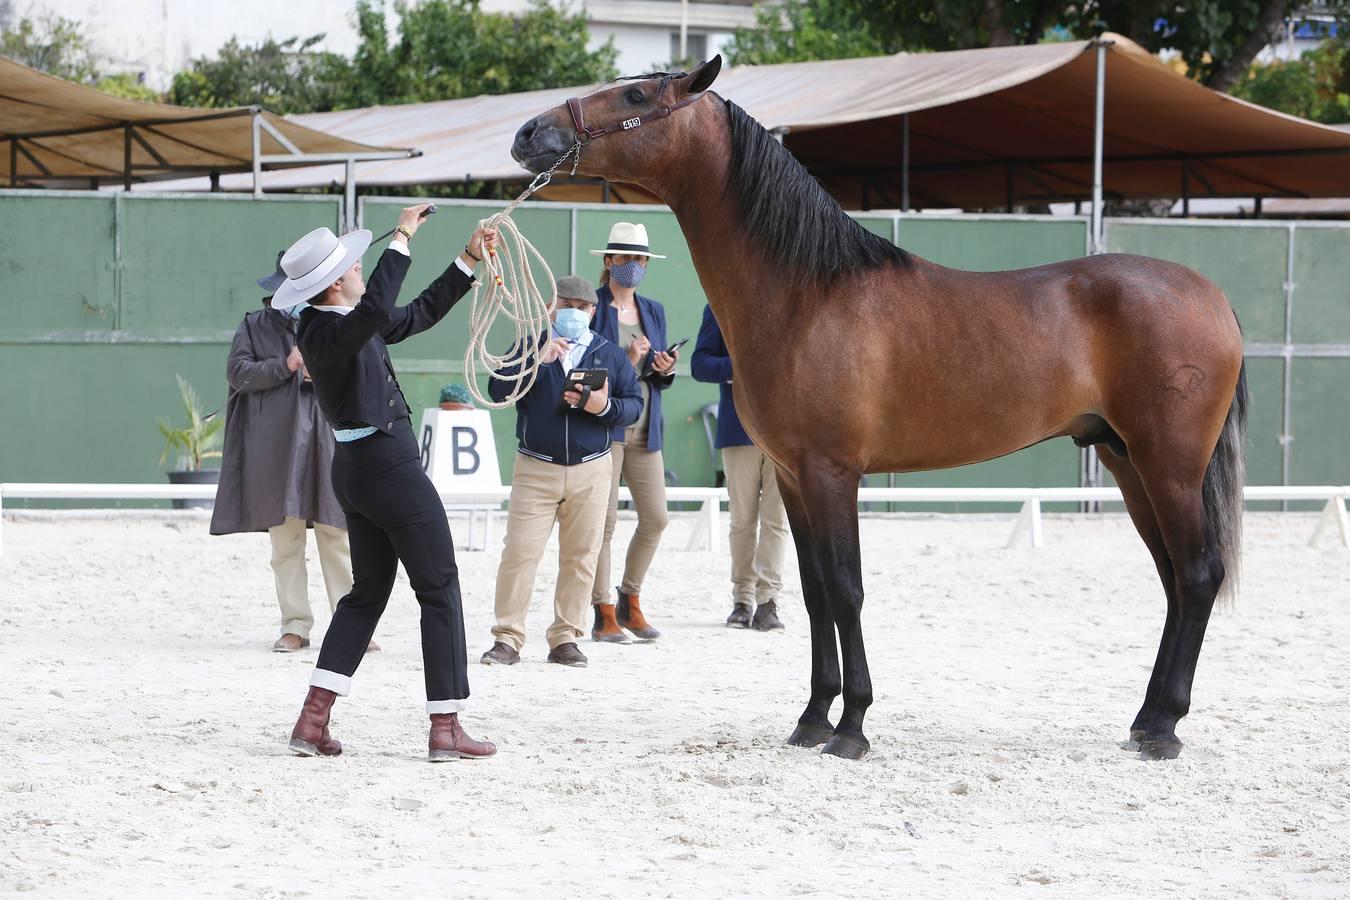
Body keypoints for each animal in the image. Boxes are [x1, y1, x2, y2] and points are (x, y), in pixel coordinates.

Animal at [510, 56, 1247, 761]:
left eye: (635, 96)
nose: (529, 133)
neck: (806, 294)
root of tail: (1213, 297)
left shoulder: (834, 473)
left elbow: (846, 588)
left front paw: (853, 726)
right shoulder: (792, 477)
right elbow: (813, 594)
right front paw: (811, 719)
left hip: (1169, 466)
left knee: (1198, 574)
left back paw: (1165, 729)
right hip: (1127, 464)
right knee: (1174, 580)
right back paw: (1145, 721)